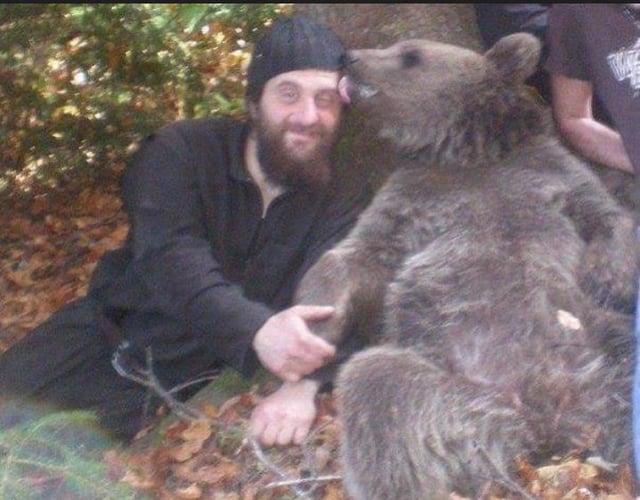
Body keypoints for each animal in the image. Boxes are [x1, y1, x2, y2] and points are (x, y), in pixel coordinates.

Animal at [293, 33, 638, 499]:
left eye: (410, 55)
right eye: (400, 48)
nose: (350, 57)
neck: (465, 153)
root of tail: (549, 421)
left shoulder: (552, 174)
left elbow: (605, 213)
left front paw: (607, 275)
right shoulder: (410, 202)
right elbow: (358, 254)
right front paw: (313, 325)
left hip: (607, 346)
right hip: (454, 402)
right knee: (375, 389)